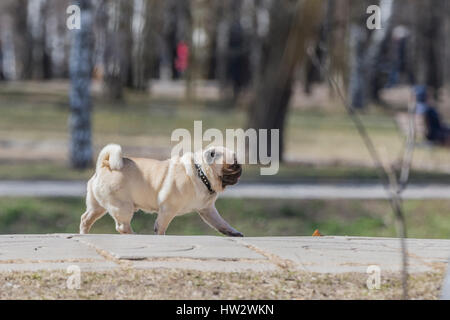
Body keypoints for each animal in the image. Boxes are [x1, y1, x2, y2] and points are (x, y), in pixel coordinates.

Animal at [79, 144, 244, 236]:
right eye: (232, 165)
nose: (240, 168)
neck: (201, 173)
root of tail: (104, 165)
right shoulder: (168, 209)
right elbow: (161, 227)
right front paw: (160, 235)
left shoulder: (207, 210)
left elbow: (221, 223)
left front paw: (233, 233)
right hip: (122, 206)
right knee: (122, 226)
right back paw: (133, 234)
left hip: (97, 207)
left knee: (86, 219)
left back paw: (83, 233)